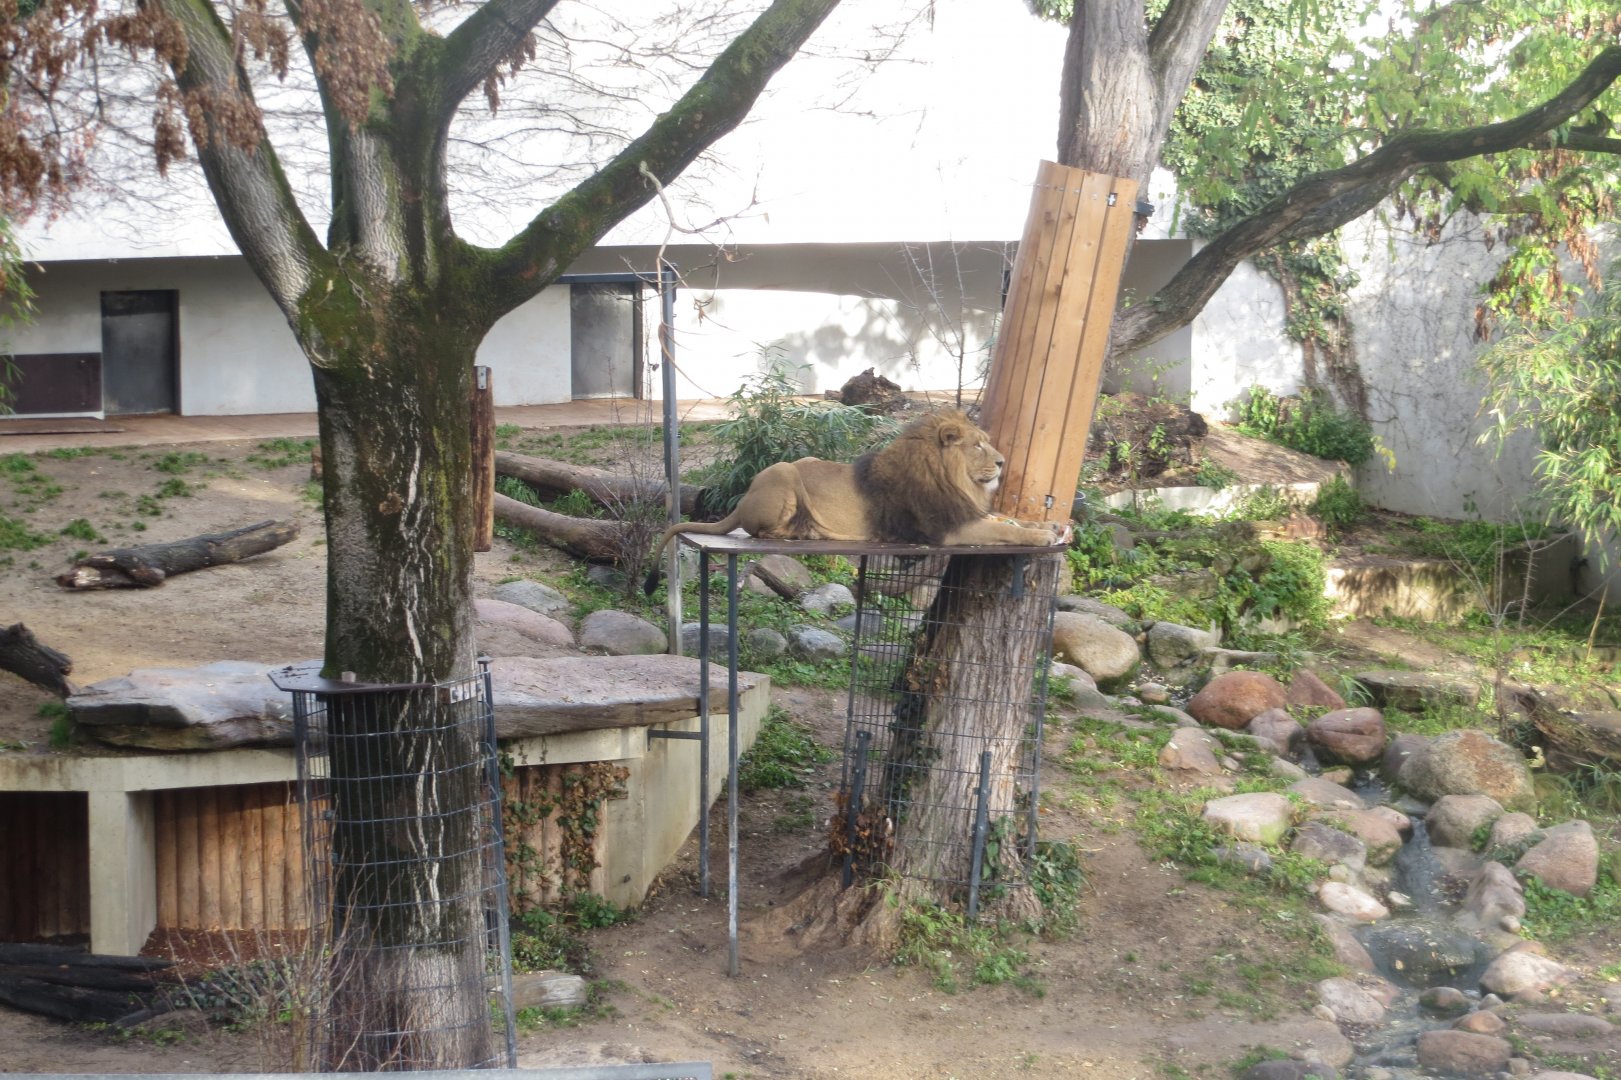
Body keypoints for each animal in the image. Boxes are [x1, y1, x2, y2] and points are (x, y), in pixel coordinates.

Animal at [643, 409, 1069, 594]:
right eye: (978, 445)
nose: (1001, 462)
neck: (956, 480)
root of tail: (742, 499)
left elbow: (1009, 520)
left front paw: (1050, 525)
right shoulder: (947, 530)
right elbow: (1003, 530)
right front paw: (1042, 538)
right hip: (783, 470)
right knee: (759, 529)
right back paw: (805, 531)